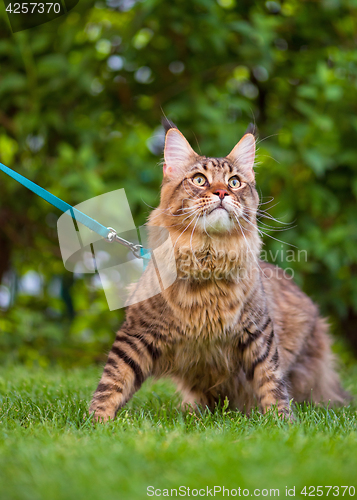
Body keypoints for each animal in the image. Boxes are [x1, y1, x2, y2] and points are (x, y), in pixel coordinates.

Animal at [88, 122, 348, 422]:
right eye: (200, 180)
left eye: (234, 182)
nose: (222, 193)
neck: (208, 260)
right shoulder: (139, 332)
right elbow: (113, 380)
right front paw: (97, 421)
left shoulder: (258, 331)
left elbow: (271, 380)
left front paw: (281, 421)